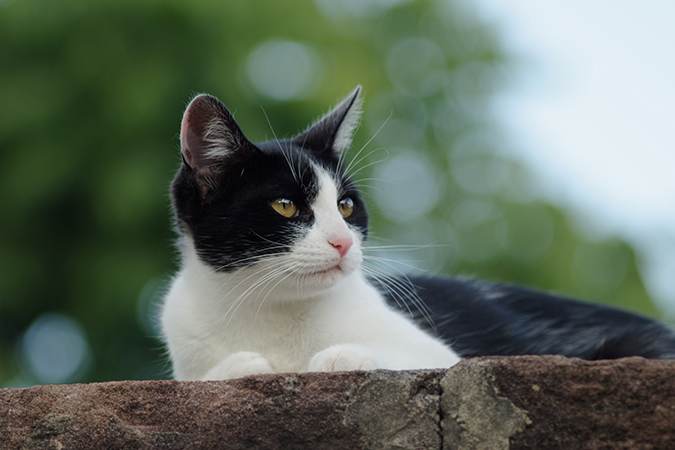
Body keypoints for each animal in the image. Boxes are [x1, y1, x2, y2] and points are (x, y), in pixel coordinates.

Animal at [161, 85, 675, 380]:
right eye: (286, 206)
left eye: (345, 206)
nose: (343, 242)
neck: (269, 311)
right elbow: (212, 374)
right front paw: (243, 364)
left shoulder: (435, 353)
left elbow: (394, 354)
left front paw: (335, 358)